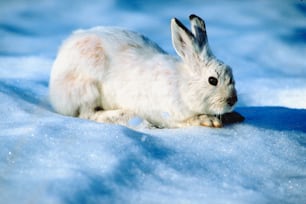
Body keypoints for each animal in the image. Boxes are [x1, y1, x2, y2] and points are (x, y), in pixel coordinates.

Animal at [49, 14, 238, 127]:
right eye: (212, 80)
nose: (232, 100)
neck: (182, 85)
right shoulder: (169, 114)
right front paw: (209, 121)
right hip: (87, 88)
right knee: (87, 114)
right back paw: (123, 114)